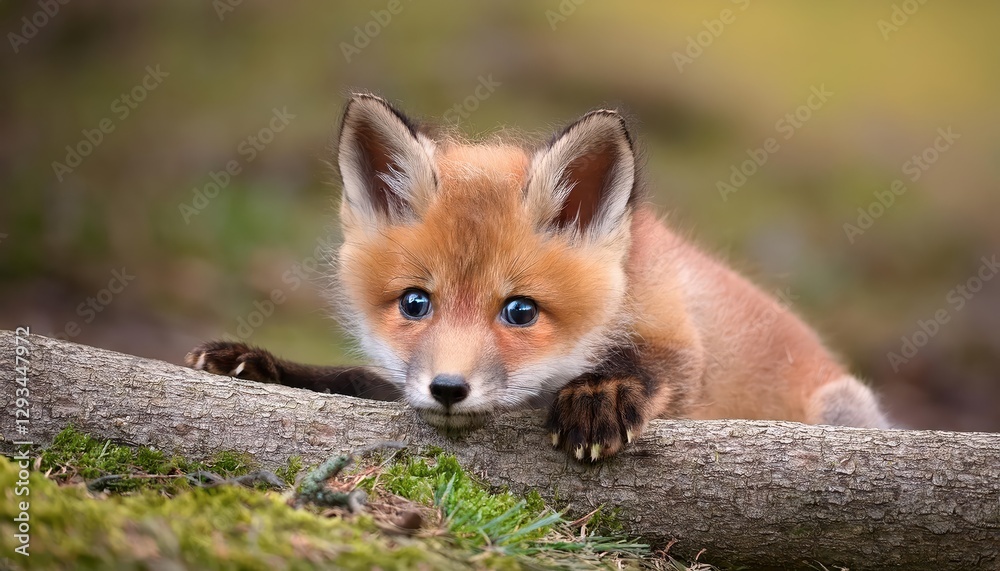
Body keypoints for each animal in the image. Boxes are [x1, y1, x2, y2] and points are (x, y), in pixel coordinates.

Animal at [187, 93, 889, 462]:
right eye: (415, 303)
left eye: (521, 311)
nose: (448, 389)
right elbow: (350, 381)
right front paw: (255, 363)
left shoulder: (677, 332)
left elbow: (652, 364)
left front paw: (597, 397)